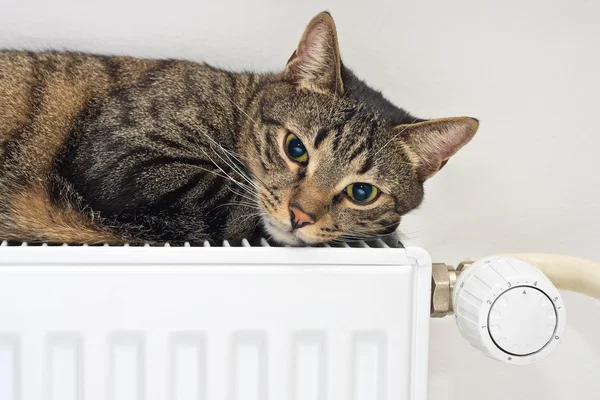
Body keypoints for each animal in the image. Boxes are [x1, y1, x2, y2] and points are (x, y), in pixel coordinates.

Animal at [0, 10, 478, 245]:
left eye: (362, 193)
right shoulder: (121, 154)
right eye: (296, 148)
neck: (236, 105)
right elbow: (229, 195)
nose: (301, 215)